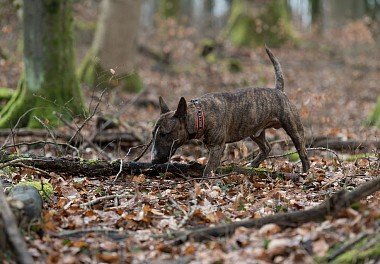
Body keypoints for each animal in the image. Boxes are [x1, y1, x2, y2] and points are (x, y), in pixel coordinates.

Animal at [151, 47, 308, 177]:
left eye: (164, 134)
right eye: (153, 134)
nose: (153, 160)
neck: (200, 114)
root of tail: (279, 91)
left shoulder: (217, 147)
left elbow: (208, 168)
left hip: (293, 128)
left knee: (302, 150)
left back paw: (305, 172)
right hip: (254, 131)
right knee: (266, 147)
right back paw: (253, 165)